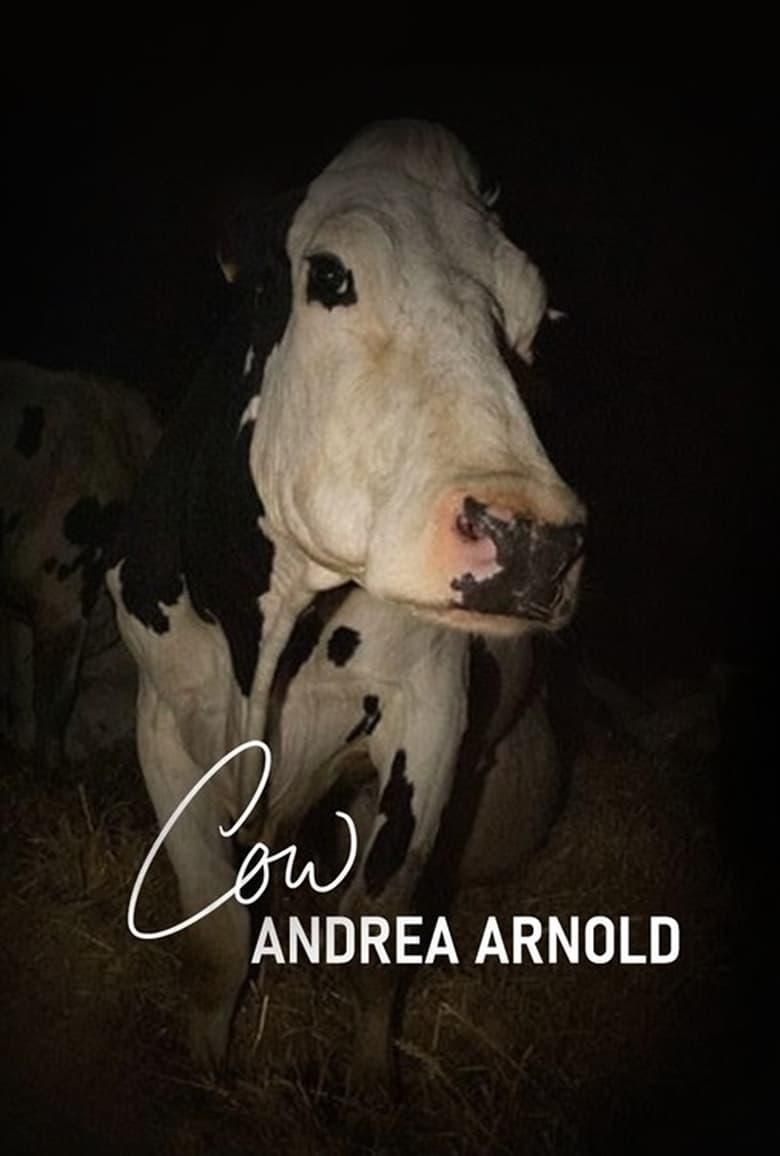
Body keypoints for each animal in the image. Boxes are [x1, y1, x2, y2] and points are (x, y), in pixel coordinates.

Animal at [107, 120, 586, 1092]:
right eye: (329, 275)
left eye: (532, 316)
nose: (534, 542)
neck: (265, 639)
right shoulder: (161, 714)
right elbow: (215, 935)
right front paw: (207, 1072)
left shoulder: (429, 712)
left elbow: (378, 931)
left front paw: (371, 1087)